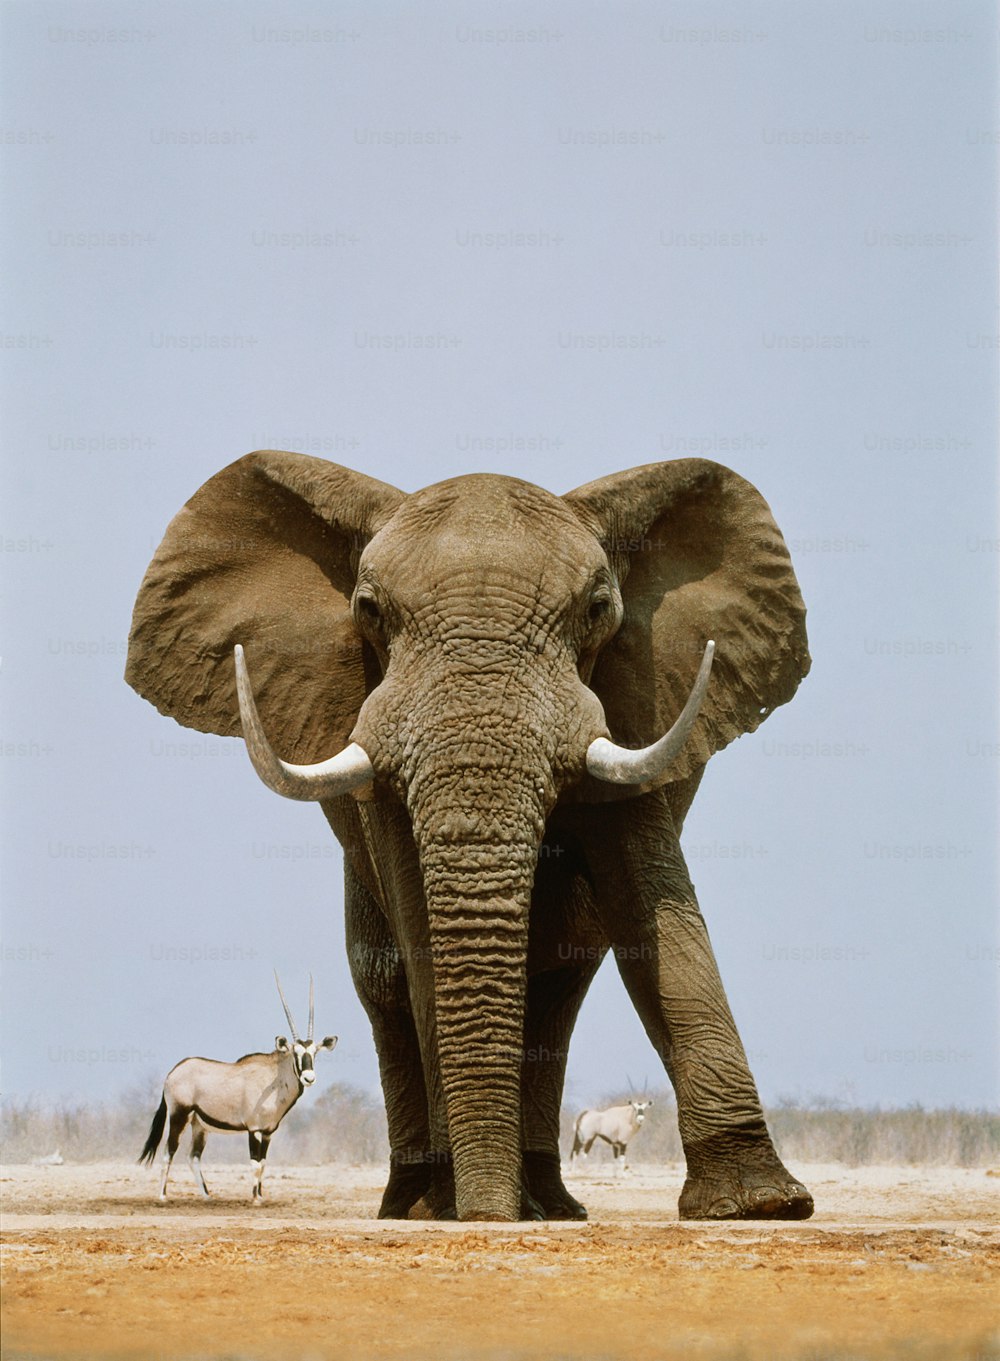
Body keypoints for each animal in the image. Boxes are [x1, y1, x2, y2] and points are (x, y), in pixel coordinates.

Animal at [138, 969, 338, 1203]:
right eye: (295, 1053)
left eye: (314, 1053)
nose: (309, 1078)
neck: (274, 1079)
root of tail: (172, 1072)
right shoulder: (254, 1129)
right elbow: (254, 1164)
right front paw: (254, 1199)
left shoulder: (268, 1132)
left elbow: (263, 1164)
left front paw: (260, 1196)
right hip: (179, 1116)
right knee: (168, 1152)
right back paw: (162, 1196)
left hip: (199, 1124)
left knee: (193, 1157)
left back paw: (207, 1196)